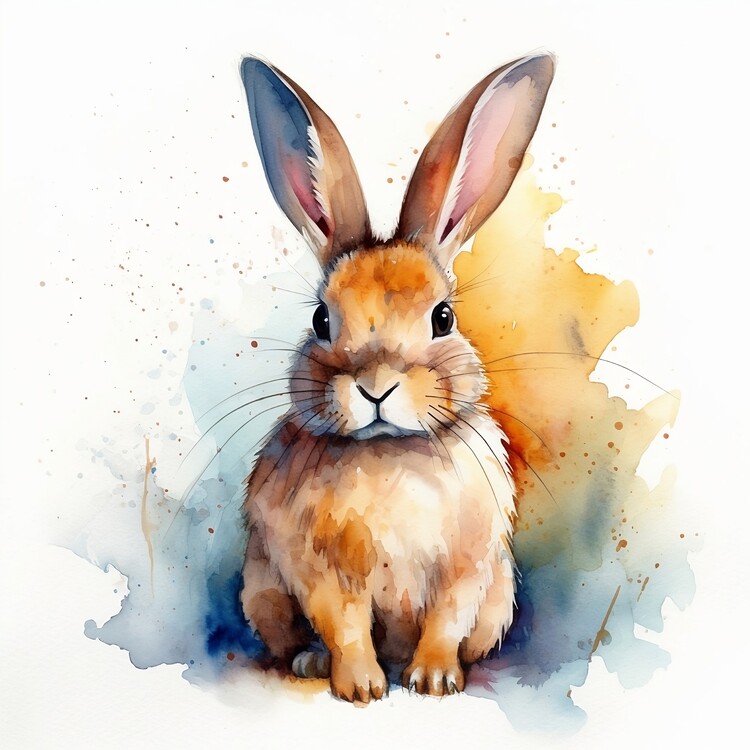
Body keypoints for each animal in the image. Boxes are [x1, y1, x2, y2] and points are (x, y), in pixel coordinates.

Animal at [238, 52, 554, 702]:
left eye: (443, 317)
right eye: (320, 318)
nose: (376, 386)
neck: (389, 452)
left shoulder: (468, 565)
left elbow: (446, 621)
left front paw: (433, 680)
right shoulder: (318, 570)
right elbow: (345, 626)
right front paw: (362, 688)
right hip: (263, 591)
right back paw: (309, 661)